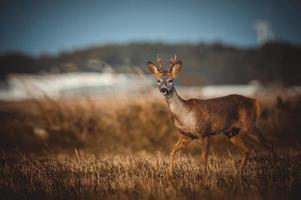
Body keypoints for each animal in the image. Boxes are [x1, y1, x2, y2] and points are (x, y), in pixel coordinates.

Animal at [146, 55, 276, 181]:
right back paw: (238, 175)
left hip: (249, 124)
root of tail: (255, 101)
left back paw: (272, 172)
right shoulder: (187, 135)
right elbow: (172, 150)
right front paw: (170, 177)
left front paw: (204, 180)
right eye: (158, 80)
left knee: (269, 143)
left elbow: (204, 156)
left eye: (170, 80)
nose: (163, 89)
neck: (185, 114)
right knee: (247, 150)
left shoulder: (205, 132)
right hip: (231, 131)